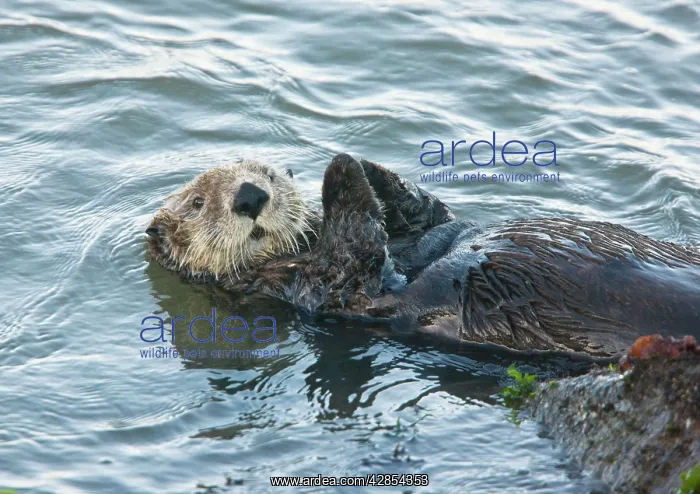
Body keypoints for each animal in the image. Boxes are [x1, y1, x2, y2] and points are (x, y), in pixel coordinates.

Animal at [146, 154, 700, 358]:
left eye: (267, 173)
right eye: (198, 203)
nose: (250, 194)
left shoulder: (423, 230)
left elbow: (430, 214)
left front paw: (363, 165)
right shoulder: (314, 287)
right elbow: (353, 259)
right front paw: (341, 172)